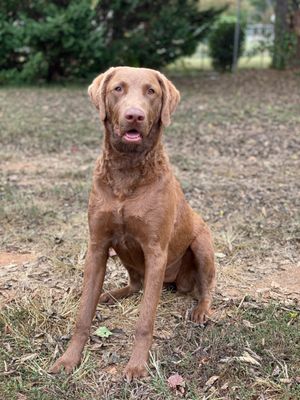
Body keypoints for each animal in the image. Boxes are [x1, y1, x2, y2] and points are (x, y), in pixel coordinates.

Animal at [51, 66, 216, 382]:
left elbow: (145, 319)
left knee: (206, 287)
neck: (126, 172)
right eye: (118, 88)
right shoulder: (97, 246)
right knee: (136, 284)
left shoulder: (155, 251)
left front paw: (137, 365)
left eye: (151, 91)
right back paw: (111, 294)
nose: (135, 115)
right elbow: (83, 314)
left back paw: (201, 310)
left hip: (202, 244)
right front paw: (69, 359)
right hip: (123, 251)